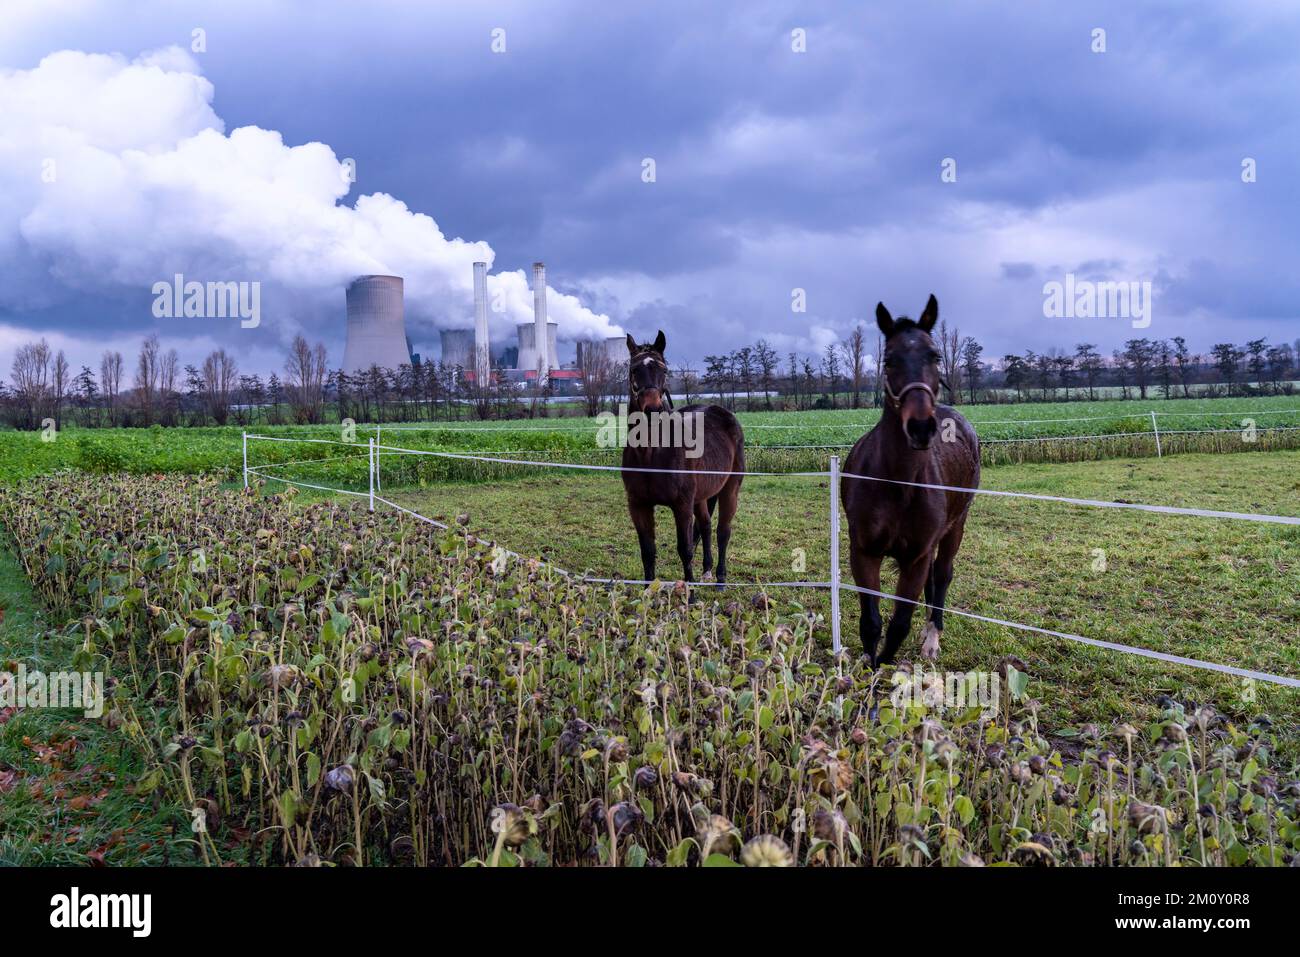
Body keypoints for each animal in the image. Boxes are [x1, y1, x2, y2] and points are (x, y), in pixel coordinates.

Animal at [624, 332, 748, 587]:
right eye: (634, 370)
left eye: (663, 370)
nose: (652, 409)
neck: (651, 454)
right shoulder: (638, 505)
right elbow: (647, 551)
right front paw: (647, 591)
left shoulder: (681, 505)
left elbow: (685, 549)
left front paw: (689, 593)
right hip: (701, 497)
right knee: (706, 525)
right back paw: (707, 570)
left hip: (730, 488)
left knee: (723, 531)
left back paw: (720, 578)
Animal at [842, 297, 977, 665]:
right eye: (889, 360)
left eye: (935, 355)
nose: (919, 427)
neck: (898, 484)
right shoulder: (863, 552)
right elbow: (871, 623)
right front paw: (866, 666)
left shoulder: (915, 558)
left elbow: (899, 625)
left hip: (956, 527)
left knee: (942, 576)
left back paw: (932, 638)